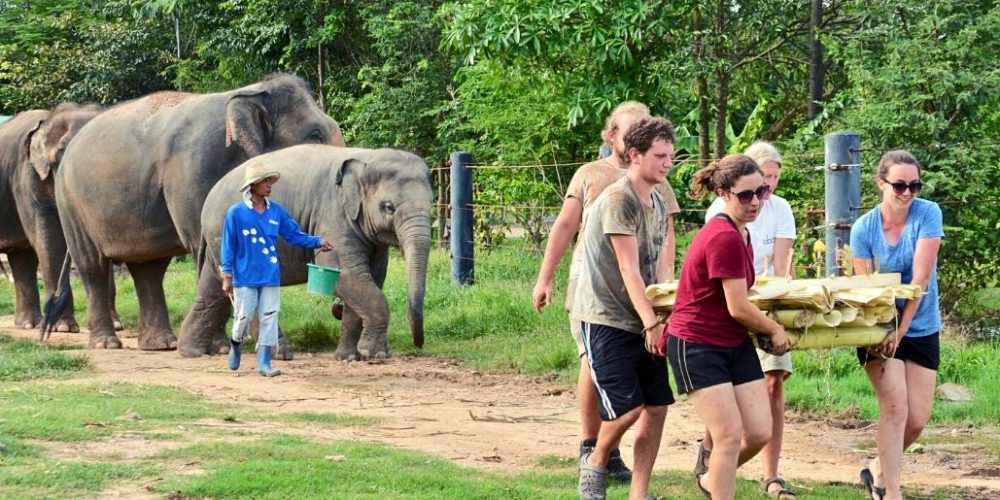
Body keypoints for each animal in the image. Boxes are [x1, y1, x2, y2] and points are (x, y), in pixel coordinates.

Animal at [0, 102, 114, 332]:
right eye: (62, 153)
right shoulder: (27, 176)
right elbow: (50, 239)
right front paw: (63, 327)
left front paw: (117, 325)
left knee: (22, 258)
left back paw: (28, 324)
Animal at [55, 74, 344, 350]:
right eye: (315, 134)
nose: (337, 310)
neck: (250, 91)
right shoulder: (195, 170)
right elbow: (209, 250)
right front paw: (222, 347)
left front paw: (221, 346)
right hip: (70, 203)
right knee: (93, 265)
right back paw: (106, 343)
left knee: (148, 269)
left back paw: (161, 345)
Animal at [182, 145, 432, 360]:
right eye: (388, 207)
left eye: (432, 203)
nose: (419, 344)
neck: (367, 156)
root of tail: (208, 202)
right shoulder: (333, 215)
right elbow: (347, 275)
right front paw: (377, 354)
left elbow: (372, 278)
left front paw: (350, 358)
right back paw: (279, 354)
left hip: (219, 245)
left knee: (214, 288)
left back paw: (196, 351)